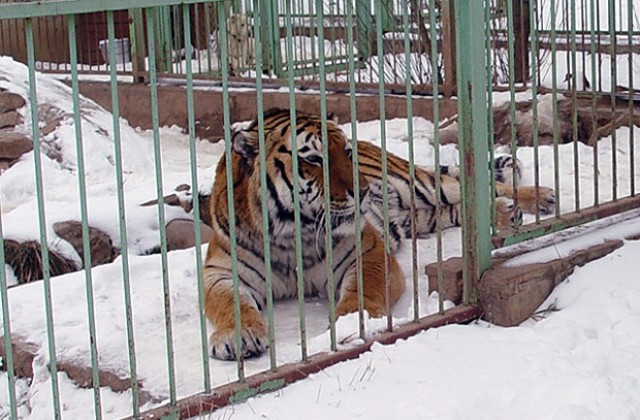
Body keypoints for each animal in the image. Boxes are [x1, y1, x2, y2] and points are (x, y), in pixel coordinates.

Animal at [204, 106, 556, 360]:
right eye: (313, 159)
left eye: (345, 152)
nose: (362, 191)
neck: (290, 235)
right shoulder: (221, 272)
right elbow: (230, 303)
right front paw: (238, 336)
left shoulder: (366, 251)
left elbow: (362, 288)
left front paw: (351, 322)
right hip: (423, 216)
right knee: (458, 208)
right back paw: (507, 211)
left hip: (423, 185)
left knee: (477, 186)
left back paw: (536, 198)